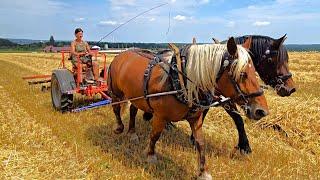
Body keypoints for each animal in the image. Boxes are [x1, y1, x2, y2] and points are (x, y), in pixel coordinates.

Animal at [107, 37, 268, 178]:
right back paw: (119, 127)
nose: (262, 111)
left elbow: (200, 143)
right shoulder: (160, 116)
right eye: (242, 74)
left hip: (136, 96)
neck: (180, 81)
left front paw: (203, 172)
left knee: (133, 110)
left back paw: (132, 132)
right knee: (116, 109)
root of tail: (121, 54)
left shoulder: (195, 118)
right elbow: (155, 135)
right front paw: (151, 156)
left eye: (255, 72)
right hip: (116, 92)